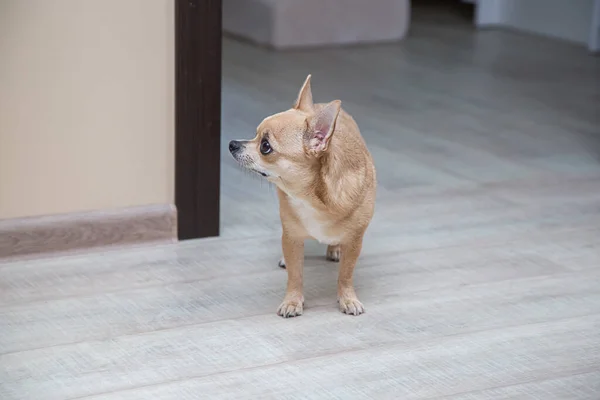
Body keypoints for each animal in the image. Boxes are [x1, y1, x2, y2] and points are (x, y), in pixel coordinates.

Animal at [229, 76, 376, 318]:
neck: (312, 198)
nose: (232, 144)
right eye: (255, 134)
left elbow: (346, 274)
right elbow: (295, 274)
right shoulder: (292, 237)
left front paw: (348, 299)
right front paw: (292, 301)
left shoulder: (355, 241)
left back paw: (335, 249)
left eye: (265, 146)